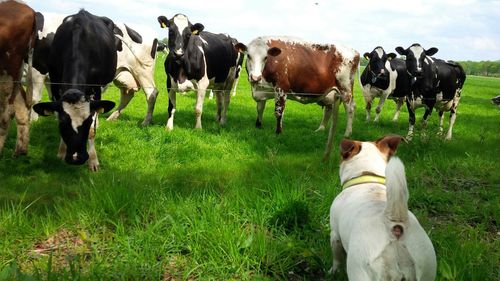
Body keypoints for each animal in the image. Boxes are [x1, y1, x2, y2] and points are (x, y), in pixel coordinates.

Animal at [32, 9, 117, 170]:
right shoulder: (55, 84)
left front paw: (93, 161)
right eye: (62, 123)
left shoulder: (96, 90)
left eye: (87, 121)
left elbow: (92, 129)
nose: (76, 158)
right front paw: (61, 151)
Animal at [330, 135, 436, 278]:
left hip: (360, 269)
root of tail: (394, 224)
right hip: (425, 264)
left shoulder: (334, 234)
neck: (368, 176)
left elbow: (336, 258)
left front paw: (333, 271)